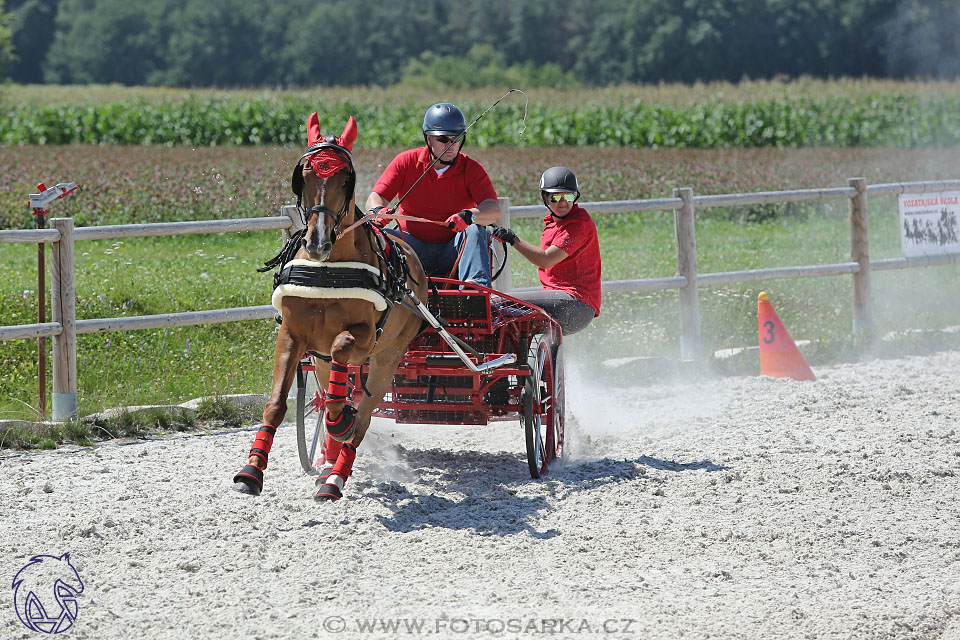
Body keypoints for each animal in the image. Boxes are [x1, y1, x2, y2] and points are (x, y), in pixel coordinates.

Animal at [232, 116, 428, 504]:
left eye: (344, 179)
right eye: (304, 175)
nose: (317, 242)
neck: (329, 268)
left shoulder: (364, 338)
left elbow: (343, 362)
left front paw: (342, 422)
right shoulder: (292, 335)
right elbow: (277, 403)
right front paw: (252, 470)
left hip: (388, 356)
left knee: (364, 412)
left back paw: (335, 476)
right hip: (322, 360)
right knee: (329, 394)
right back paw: (328, 458)